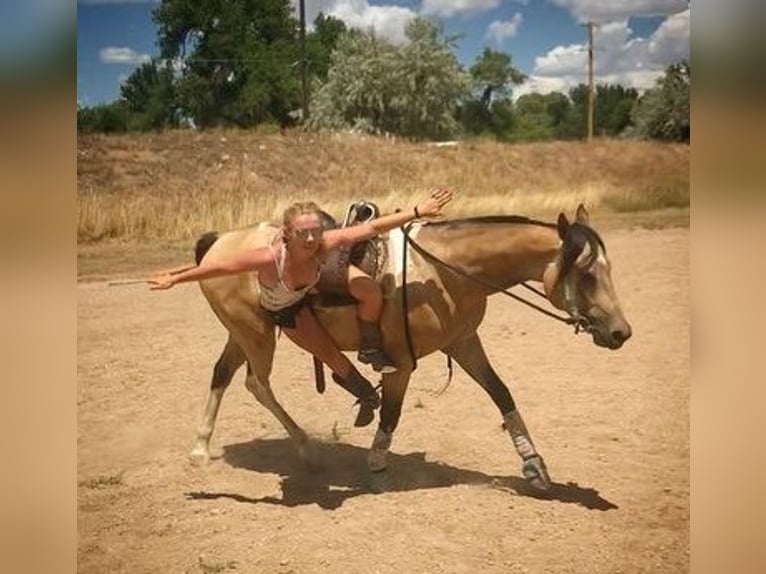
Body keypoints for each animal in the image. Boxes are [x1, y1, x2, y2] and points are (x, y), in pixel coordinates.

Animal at [186, 205, 632, 492]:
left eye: (608, 269)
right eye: (587, 275)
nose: (620, 333)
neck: (443, 272)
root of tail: (220, 242)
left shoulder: (465, 342)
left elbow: (502, 394)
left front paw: (534, 465)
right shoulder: (401, 362)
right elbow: (393, 412)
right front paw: (376, 463)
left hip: (243, 331)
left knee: (223, 374)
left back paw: (201, 448)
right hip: (256, 332)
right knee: (256, 384)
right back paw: (307, 449)